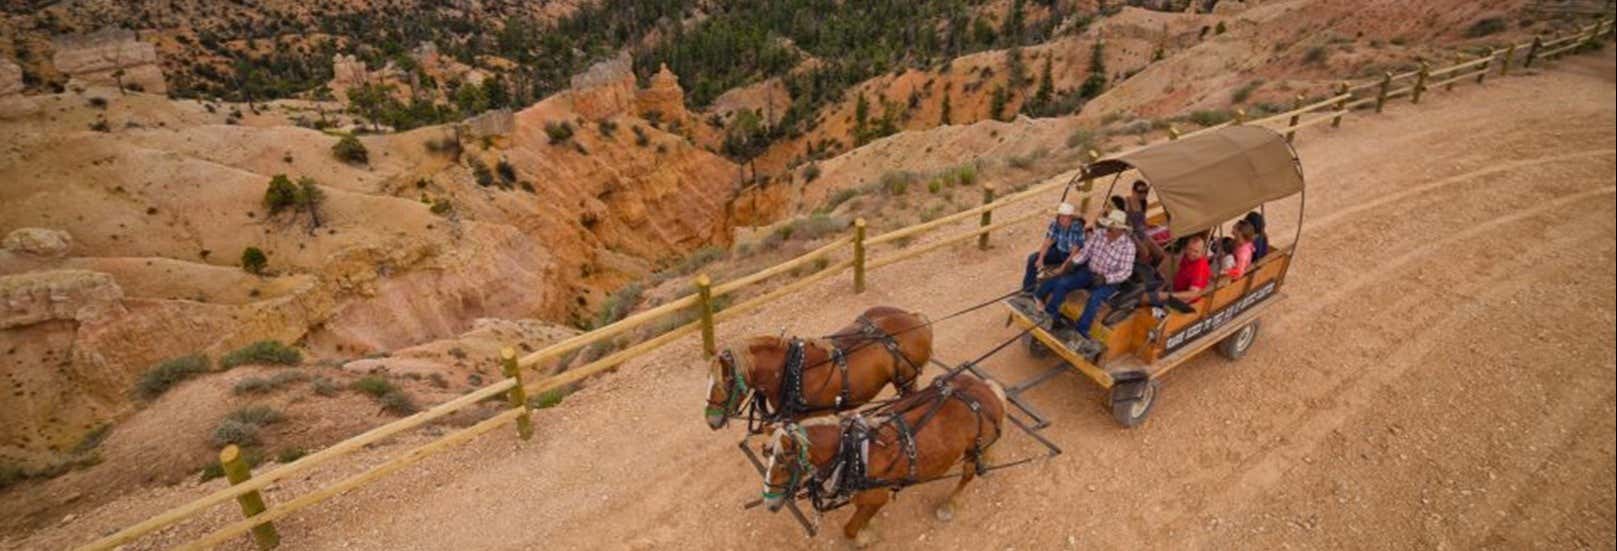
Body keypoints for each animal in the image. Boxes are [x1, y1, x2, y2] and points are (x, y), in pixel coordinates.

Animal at [759, 373, 1009, 546]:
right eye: (767, 456)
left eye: (783, 463)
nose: (769, 504)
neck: (853, 453)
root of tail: (986, 388)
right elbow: (859, 518)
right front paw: (869, 527)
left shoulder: (877, 497)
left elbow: (849, 529)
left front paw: (864, 538)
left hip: (973, 447)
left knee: (967, 474)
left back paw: (949, 504)